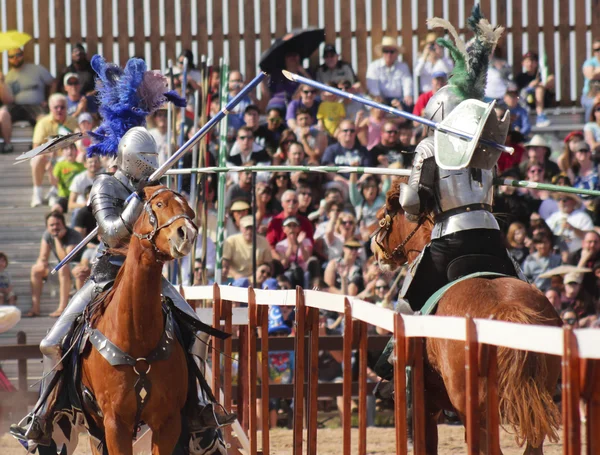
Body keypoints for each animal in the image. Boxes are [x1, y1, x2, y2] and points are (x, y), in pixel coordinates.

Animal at [81, 186, 198, 455]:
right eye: (159, 204)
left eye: (189, 209)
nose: (187, 234)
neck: (136, 334)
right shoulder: (115, 423)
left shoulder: (168, 422)